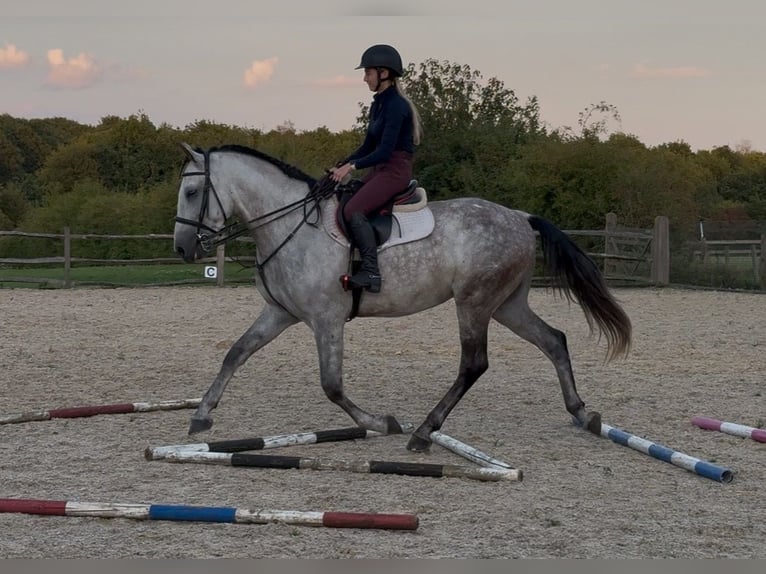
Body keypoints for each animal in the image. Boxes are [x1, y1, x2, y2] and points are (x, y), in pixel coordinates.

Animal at [173, 142, 631, 452]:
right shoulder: (280, 312)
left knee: (474, 363)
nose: (182, 248)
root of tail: (520, 217)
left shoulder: (326, 318)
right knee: (553, 340)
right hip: (507, 305)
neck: (292, 226)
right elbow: (236, 353)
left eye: (192, 193)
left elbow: (332, 385)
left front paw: (380, 422)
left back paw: (426, 431)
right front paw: (202, 415)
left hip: (474, 303)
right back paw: (581, 412)